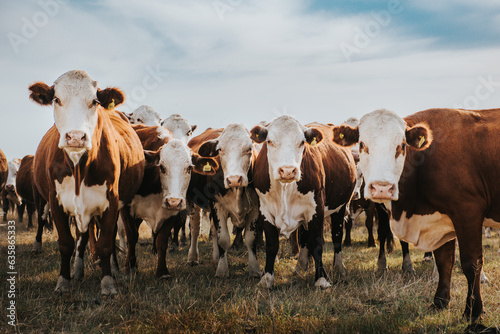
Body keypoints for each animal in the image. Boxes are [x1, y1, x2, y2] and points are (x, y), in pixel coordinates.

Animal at [29, 70, 144, 294]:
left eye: (95, 101)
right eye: (57, 99)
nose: (75, 137)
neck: (78, 166)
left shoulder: (112, 200)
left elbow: (106, 242)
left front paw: (108, 282)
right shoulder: (55, 200)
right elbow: (66, 243)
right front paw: (63, 281)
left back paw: (116, 270)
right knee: (79, 237)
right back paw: (77, 270)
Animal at [191, 124, 262, 278]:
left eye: (249, 148)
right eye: (220, 150)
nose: (234, 179)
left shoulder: (255, 208)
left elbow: (250, 238)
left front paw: (254, 269)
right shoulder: (217, 206)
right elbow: (223, 238)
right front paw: (222, 270)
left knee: (212, 230)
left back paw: (216, 258)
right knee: (195, 229)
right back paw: (193, 258)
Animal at [250, 115, 356, 288]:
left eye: (302, 142)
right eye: (269, 141)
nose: (287, 171)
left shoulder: (316, 210)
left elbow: (317, 244)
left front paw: (321, 279)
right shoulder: (265, 210)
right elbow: (272, 245)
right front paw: (267, 278)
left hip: (340, 207)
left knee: (336, 236)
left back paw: (339, 267)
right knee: (305, 236)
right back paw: (301, 266)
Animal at [332, 109, 500, 326]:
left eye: (402, 145)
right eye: (362, 144)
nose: (382, 188)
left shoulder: (468, 212)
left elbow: (471, 263)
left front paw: (473, 310)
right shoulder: (441, 220)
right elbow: (444, 261)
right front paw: (439, 301)